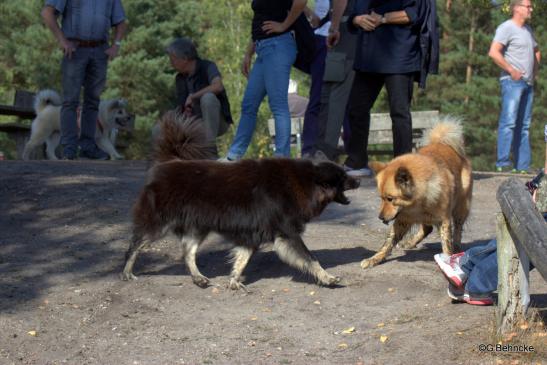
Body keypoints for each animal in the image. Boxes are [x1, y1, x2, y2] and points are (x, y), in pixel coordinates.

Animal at [121, 112, 360, 288]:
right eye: (343, 178)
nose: (358, 180)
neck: (304, 182)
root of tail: (168, 162)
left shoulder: (252, 234)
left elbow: (241, 260)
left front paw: (234, 280)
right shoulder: (287, 232)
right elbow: (311, 258)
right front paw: (328, 278)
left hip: (198, 226)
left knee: (188, 252)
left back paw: (199, 278)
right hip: (160, 223)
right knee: (135, 245)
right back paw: (126, 272)